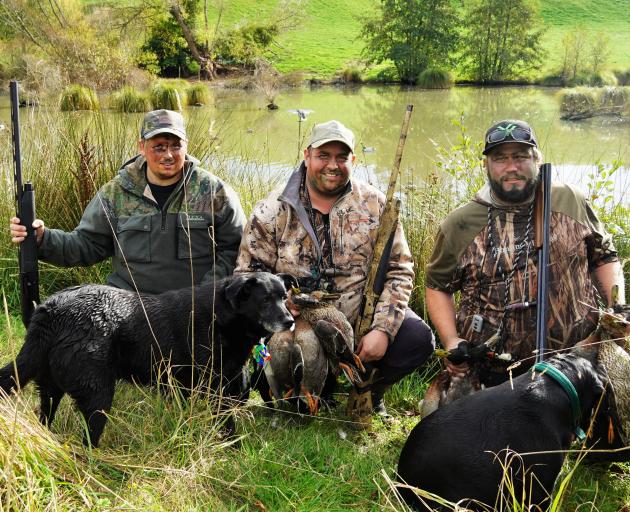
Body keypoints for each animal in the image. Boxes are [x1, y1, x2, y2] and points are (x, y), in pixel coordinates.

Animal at [0, 274, 296, 446]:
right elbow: (228, 428)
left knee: (45, 416)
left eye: (284, 297)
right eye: (264, 300)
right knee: (88, 439)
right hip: (98, 395)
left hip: (50, 388)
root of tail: (51, 310)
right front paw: (232, 448)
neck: (222, 317)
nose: (290, 321)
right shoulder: (216, 390)